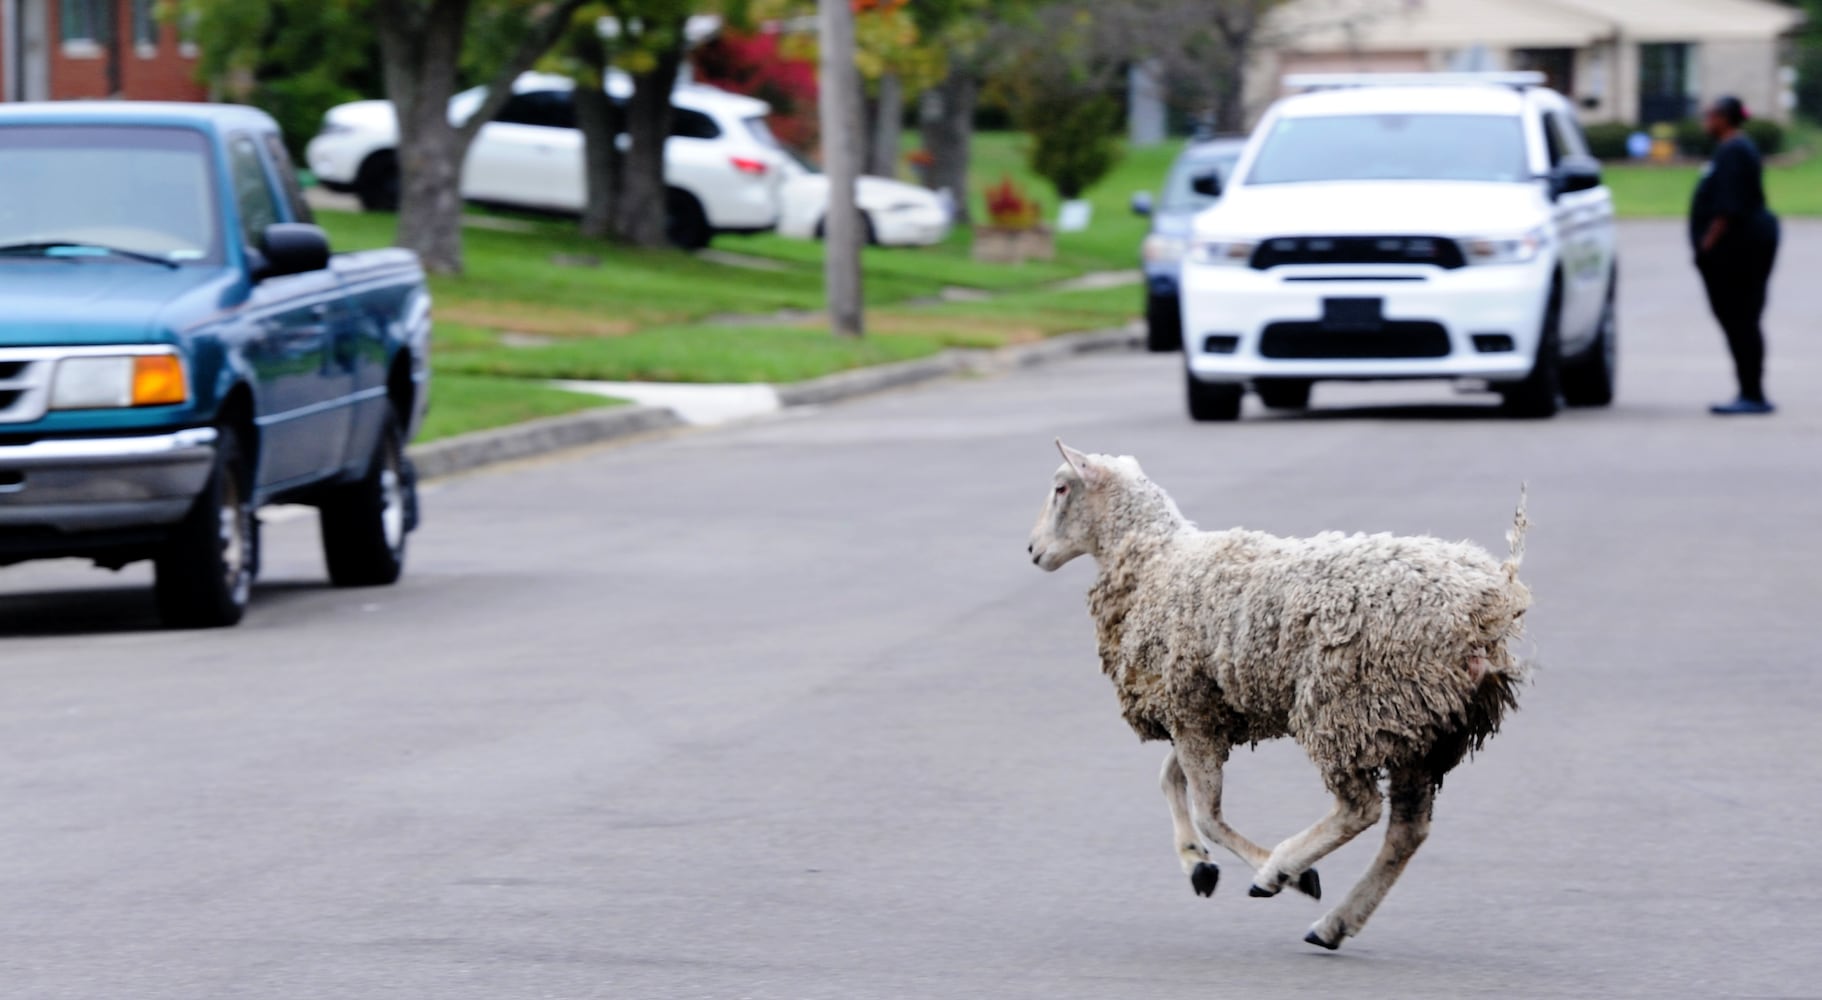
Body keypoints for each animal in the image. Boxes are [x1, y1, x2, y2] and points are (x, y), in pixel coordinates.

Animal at [1027, 440, 1523, 947]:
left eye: (1061, 488)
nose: (1032, 549)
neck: (1156, 562)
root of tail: (1486, 609)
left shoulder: (1189, 710)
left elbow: (1208, 814)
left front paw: (1286, 875)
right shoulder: (1204, 712)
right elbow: (1170, 780)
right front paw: (1197, 864)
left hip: (1352, 706)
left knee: (1359, 809)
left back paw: (1280, 872)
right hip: (1418, 724)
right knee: (1406, 831)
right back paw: (1333, 924)